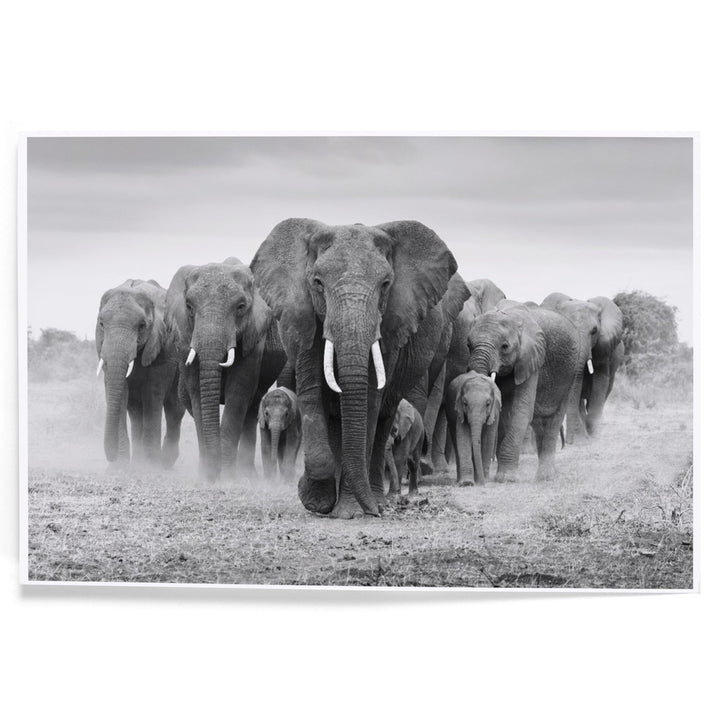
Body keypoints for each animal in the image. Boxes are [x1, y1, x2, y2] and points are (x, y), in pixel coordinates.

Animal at [95, 279, 184, 468]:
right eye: (101, 324)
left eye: (142, 326)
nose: (111, 456)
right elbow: (120, 394)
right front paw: (118, 468)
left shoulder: (165, 346)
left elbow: (152, 393)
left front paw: (150, 467)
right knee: (135, 410)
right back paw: (138, 461)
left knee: (174, 408)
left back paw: (165, 462)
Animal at [167, 257, 279, 481]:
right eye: (189, 306)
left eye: (241, 307)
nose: (215, 472)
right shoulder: (185, 337)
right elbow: (197, 392)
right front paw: (207, 474)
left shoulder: (253, 338)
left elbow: (238, 392)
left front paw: (227, 476)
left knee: (251, 409)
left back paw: (246, 474)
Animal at [251, 218, 467, 518]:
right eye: (317, 283)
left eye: (386, 284)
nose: (376, 513)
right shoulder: (303, 317)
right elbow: (312, 394)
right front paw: (316, 501)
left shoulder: (390, 325)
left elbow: (370, 401)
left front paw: (351, 511)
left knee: (383, 417)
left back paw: (376, 498)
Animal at [467, 300, 579, 483]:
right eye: (468, 345)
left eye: (504, 346)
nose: (481, 479)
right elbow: (504, 413)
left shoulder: (532, 358)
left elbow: (521, 411)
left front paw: (506, 479)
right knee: (538, 422)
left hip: (571, 372)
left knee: (554, 419)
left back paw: (546, 477)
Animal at [541, 293, 624, 441]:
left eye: (594, 331)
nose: (568, 442)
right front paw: (582, 438)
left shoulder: (603, 348)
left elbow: (600, 381)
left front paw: (592, 431)